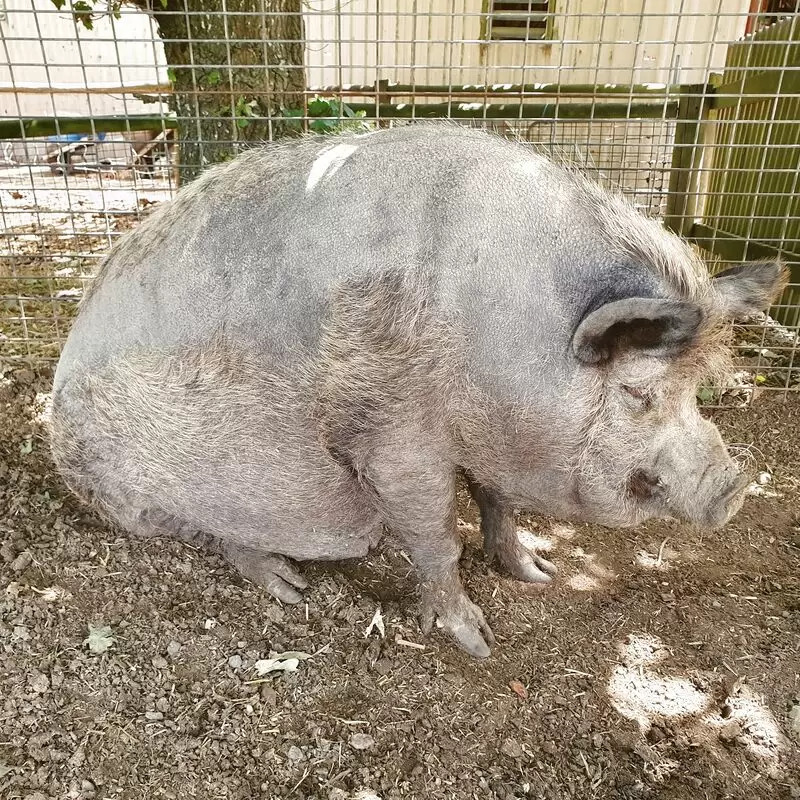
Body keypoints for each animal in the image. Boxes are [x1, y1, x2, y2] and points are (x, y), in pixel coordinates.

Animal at [50, 126, 788, 656]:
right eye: (638, 393)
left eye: (695, 389)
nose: (733, 486)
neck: (497, 342)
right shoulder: (390, 438)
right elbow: (437, 536)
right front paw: (479, 643)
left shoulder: (491, 440)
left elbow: (498, 504)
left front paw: (539, 574)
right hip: (128, 485)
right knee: (210, 536)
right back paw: (290, 588)